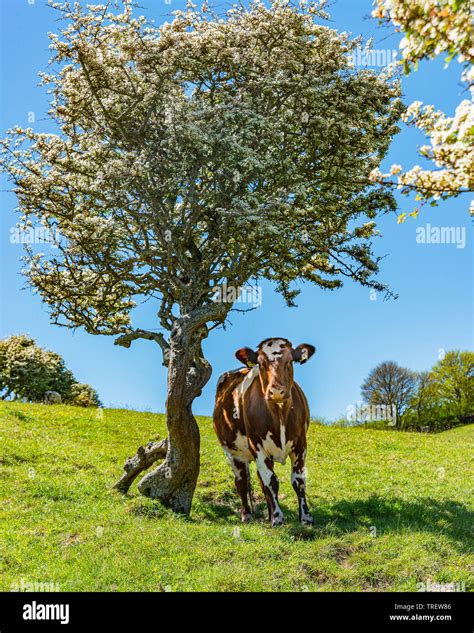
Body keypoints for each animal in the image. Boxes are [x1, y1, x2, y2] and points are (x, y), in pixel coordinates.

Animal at [214, 338, 316, 524]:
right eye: (260, 363)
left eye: (290, 361)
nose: (276, 391)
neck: (279, 413)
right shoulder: (258, 446)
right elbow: (271, 481)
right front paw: (278, 518)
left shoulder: (300, 445)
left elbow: (298, 480)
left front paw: (305, 516)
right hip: (232, 453)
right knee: (241, 481)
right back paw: (247, 515)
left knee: (260, 481)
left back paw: (268, 514)